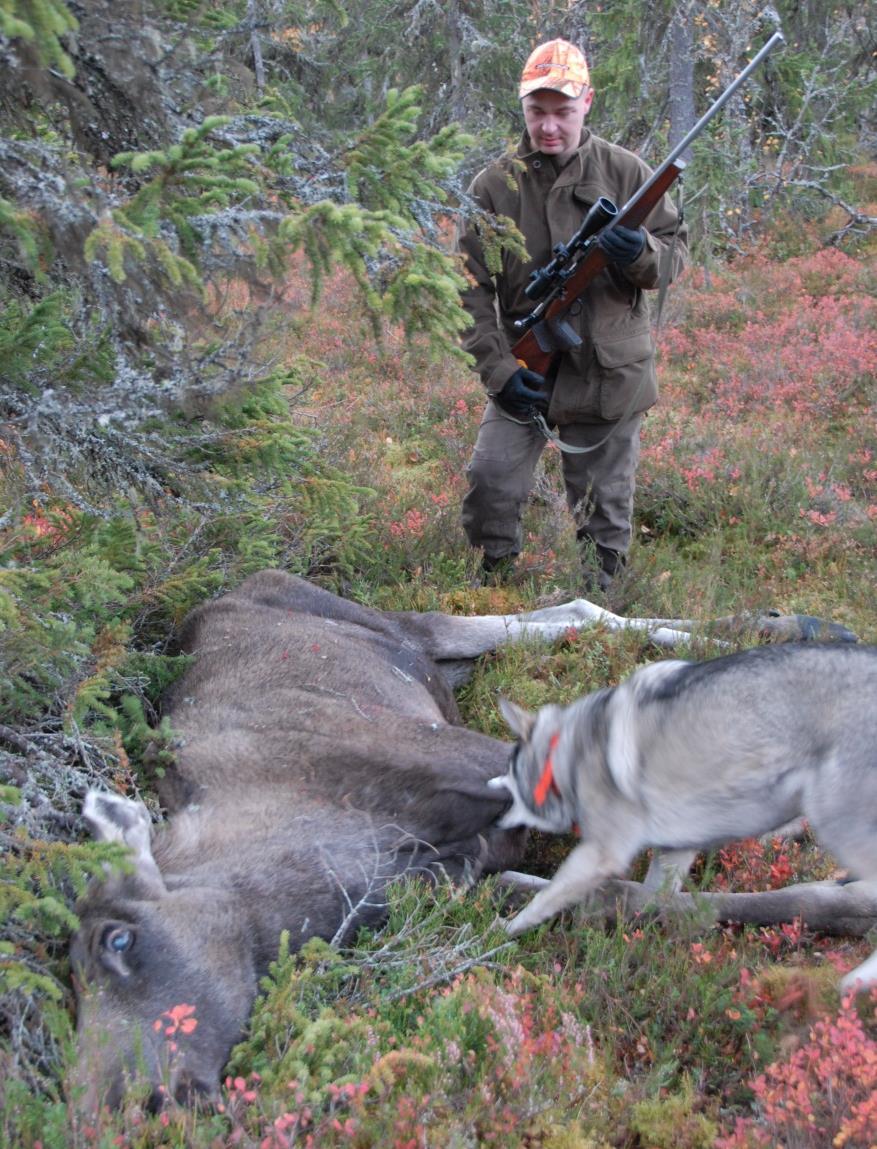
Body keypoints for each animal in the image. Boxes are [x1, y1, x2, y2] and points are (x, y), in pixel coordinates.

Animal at [494, 643, 877, 992]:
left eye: (510, 782)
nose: (496, 816)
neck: (561, 757)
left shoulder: (601, 854)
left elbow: (546, 898)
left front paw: (502, 929)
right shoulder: (673, 854)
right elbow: (641, 897)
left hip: (835, 819)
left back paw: (858, 978)